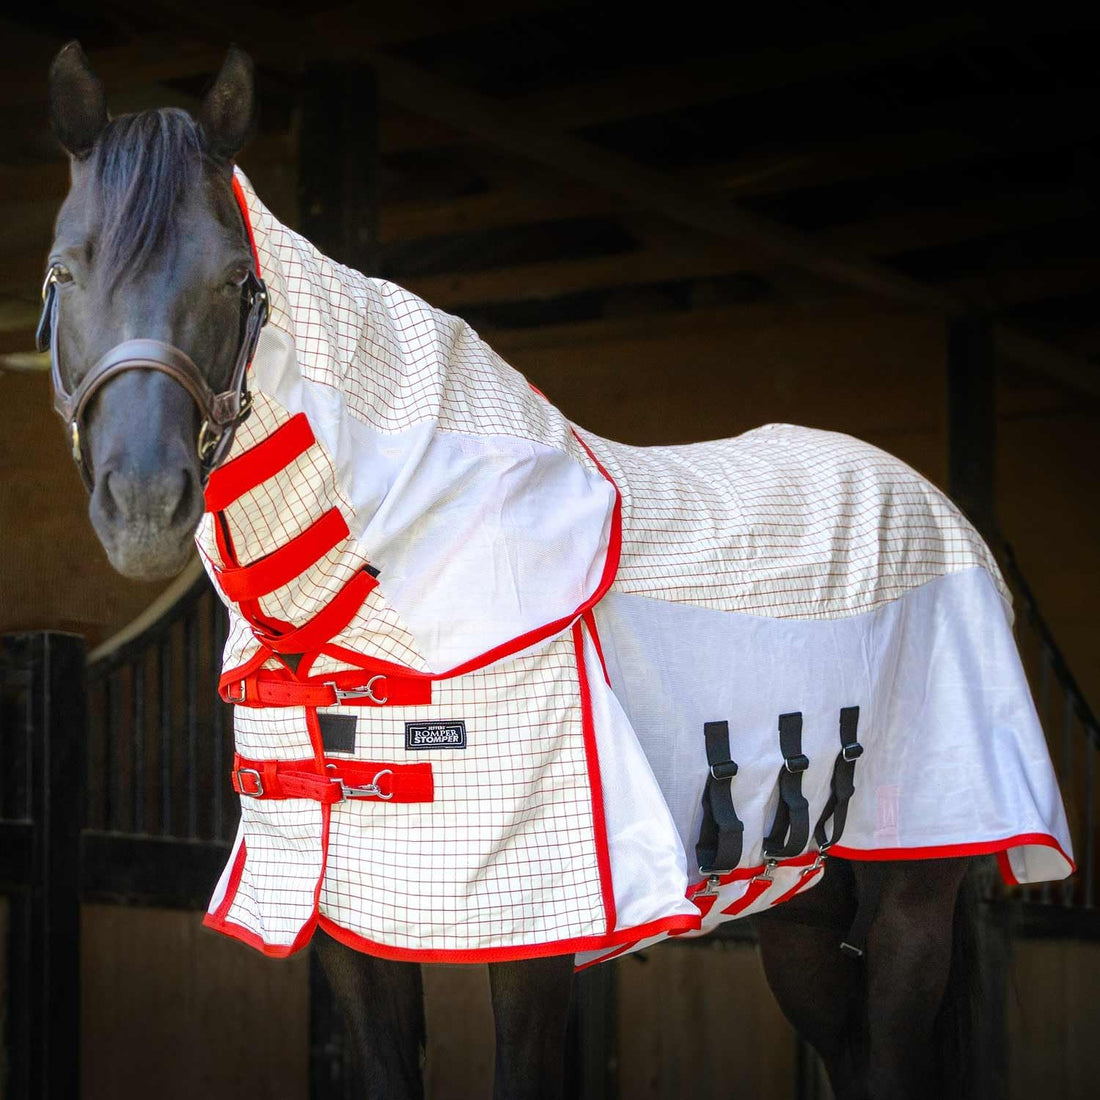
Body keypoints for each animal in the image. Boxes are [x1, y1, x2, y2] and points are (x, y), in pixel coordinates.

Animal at [40, 42, 1072, 1100]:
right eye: (63, 271)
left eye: (235, 279)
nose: (145, 506)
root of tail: (946, 515)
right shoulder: (353, 935)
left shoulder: (532, 937)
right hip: (804, 905)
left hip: (913, 902)